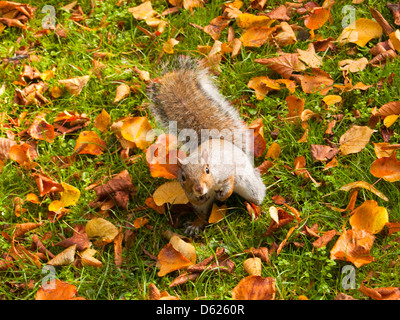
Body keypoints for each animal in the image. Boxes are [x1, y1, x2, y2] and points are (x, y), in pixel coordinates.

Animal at [148, 56, 266, 234]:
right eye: (183, 177)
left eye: (207, 170)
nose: (199, 188)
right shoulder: (191, 194)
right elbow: (199, 203)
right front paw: (201, 203)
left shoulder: (227, 171)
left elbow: (229, 184)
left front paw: (223, 195)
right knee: (203, 214)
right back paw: (195, 225)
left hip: (248, 182)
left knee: (255, 192)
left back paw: (255, 205)